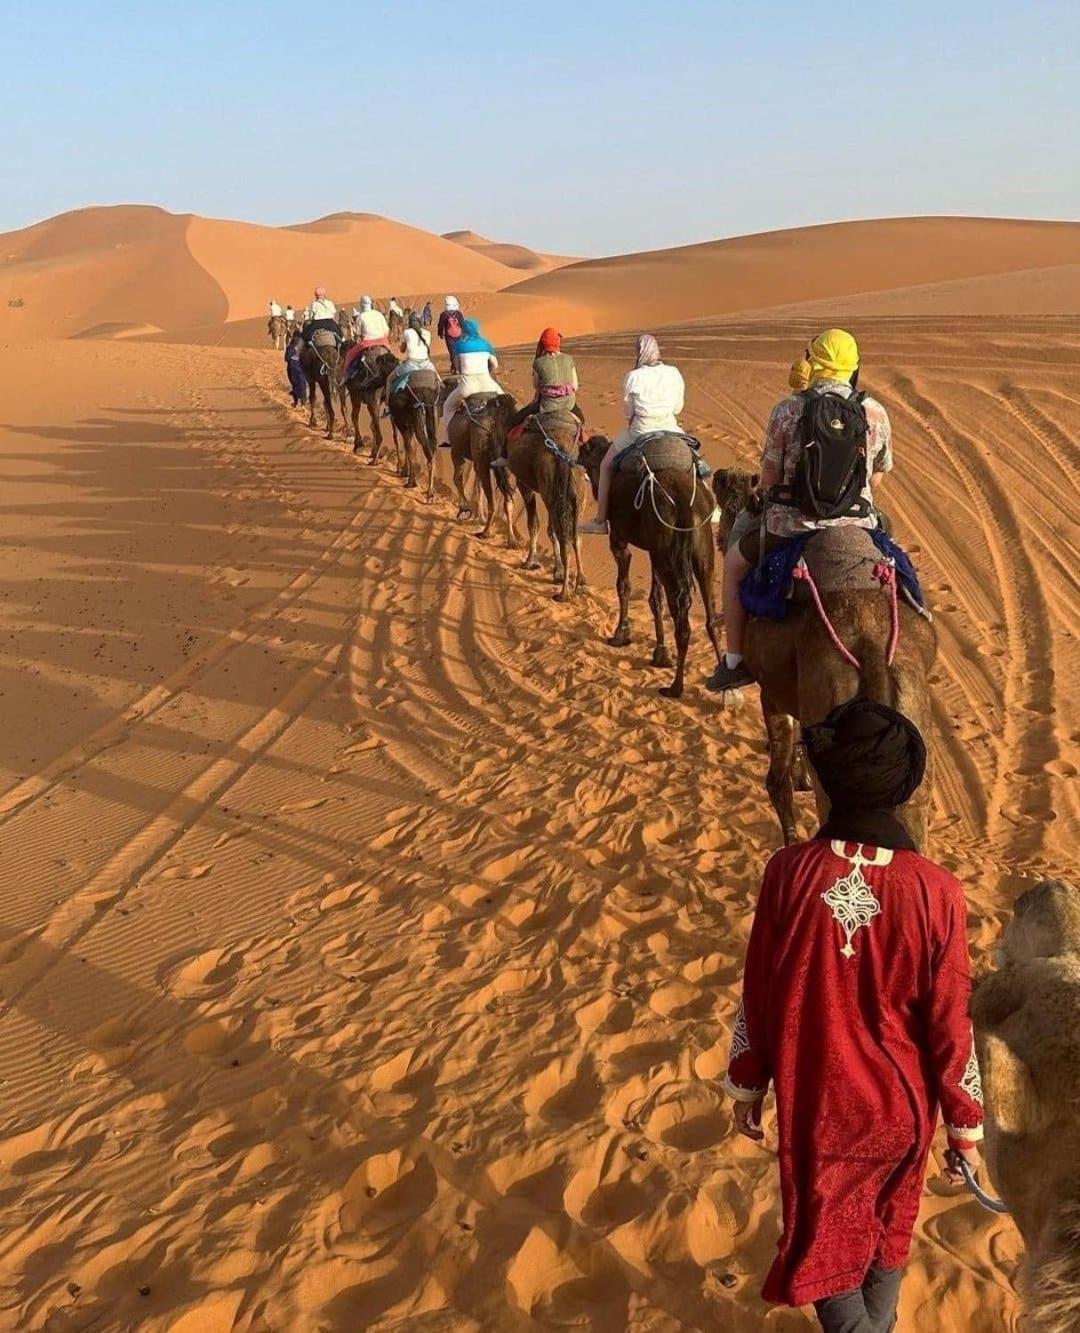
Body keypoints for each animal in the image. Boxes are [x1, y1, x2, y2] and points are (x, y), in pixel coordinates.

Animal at [384, 373, 440, 501]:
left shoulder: (400, 423)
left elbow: (404, 444)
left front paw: (408, 478)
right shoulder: (409, 425)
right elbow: (411, 447)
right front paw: (406, 473)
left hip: (415, 419)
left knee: (426, 450)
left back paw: (429, 493)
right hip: (432, 415)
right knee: (432, 445)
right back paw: (432, 490)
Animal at [498, 407, 584, 602]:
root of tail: (562, 449)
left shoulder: (525, 484)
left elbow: (533, 523)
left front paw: (530, 561)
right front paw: (556, 571)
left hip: (550, 491)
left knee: (561, 533)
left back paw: (563, 592)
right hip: (577, 493)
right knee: (573, 535)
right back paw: (580, 580)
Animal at [576, 434, 720, 698]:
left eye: (584, 452)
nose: (576, 458)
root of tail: (685, 503)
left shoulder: (620, 539)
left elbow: (623, 585)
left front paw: (620, 634)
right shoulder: (654, 550)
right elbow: (655, 598)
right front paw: (660, 653)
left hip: (670, 554)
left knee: (682, 618)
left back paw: (675, 687)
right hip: (699, 549)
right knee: (710, 612)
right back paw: (725, 682)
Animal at [709, 469, 933, 842]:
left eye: (728, 507)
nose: (718, 474)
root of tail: (872, 650)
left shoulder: (773, 696)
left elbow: (777, 781)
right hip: (911, 716)